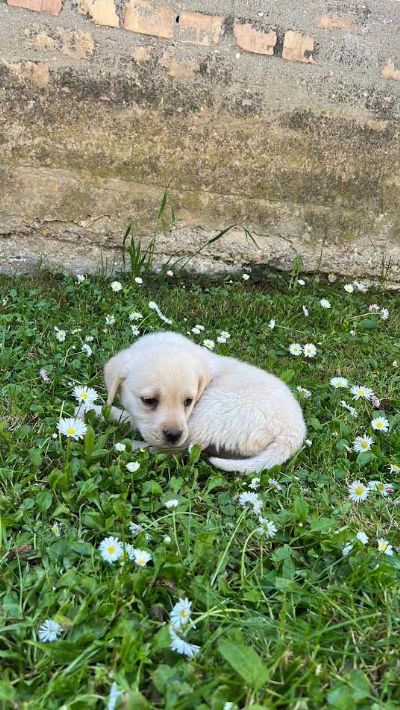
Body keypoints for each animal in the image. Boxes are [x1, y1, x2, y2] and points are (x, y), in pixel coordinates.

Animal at [101, 332, 306, 476]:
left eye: (188, 401)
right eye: (149, 401)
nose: (174, 435)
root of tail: (293, 434)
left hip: (209, 411)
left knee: (176, 449)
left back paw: (124, 444)